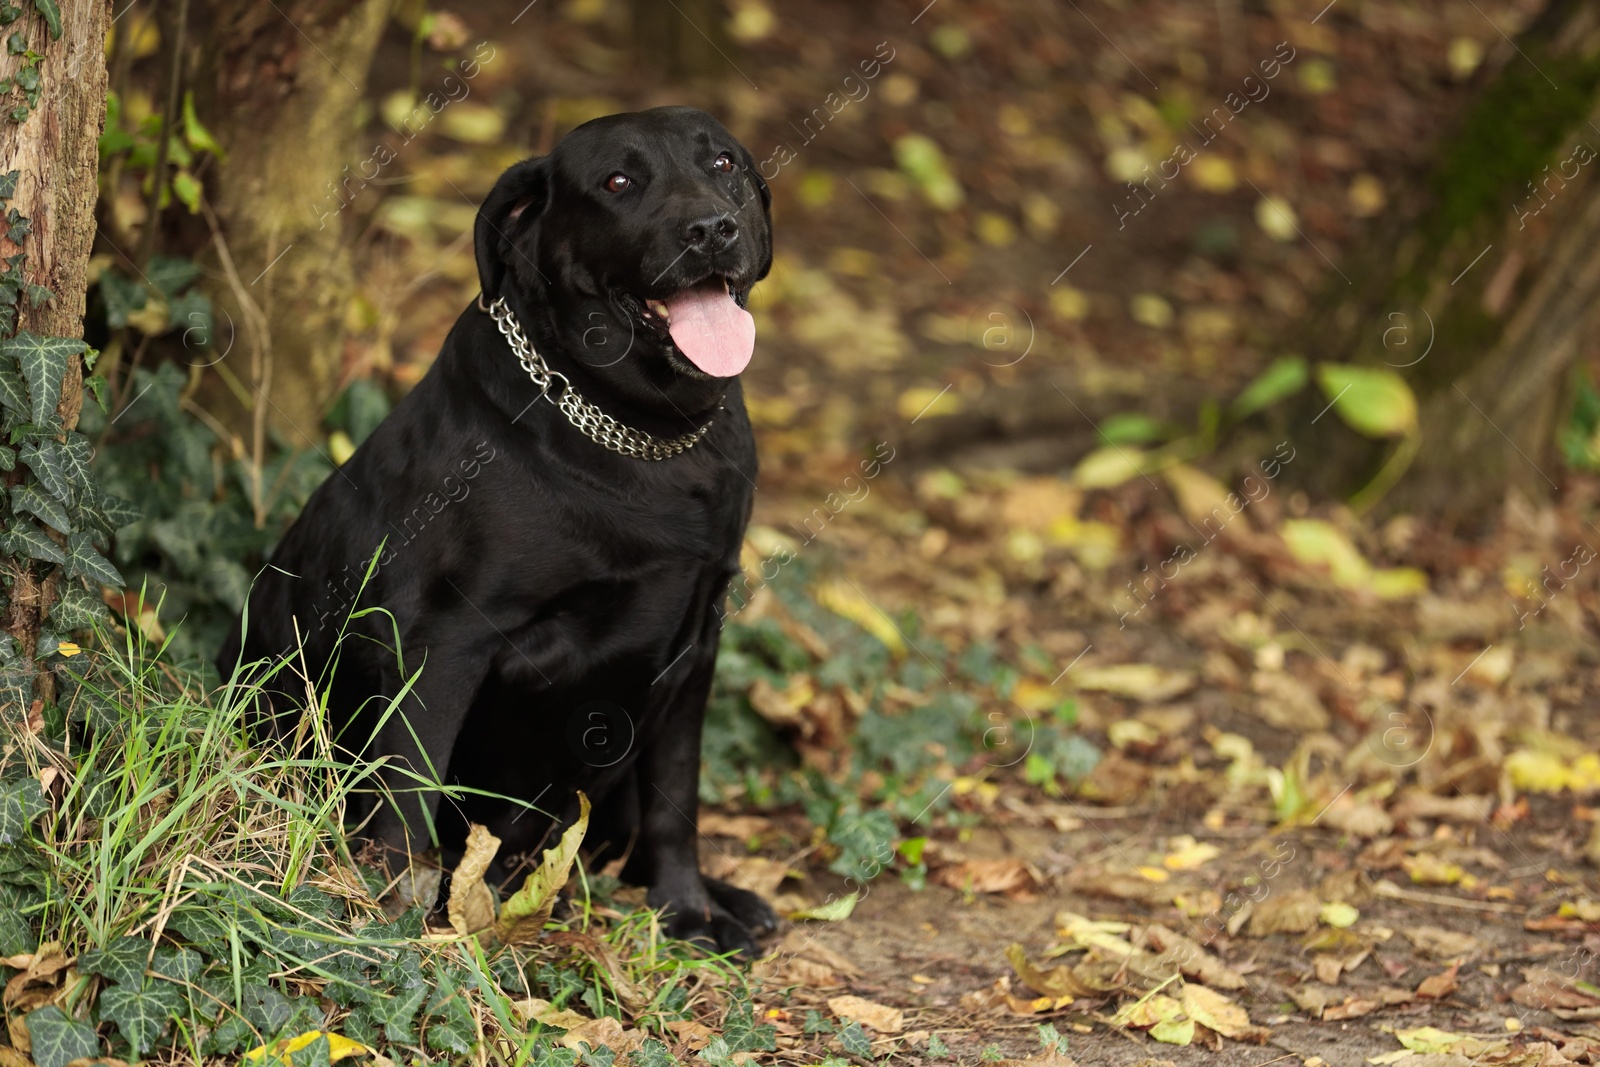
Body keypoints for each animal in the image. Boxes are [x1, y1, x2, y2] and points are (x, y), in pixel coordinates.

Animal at [222, 106, 777, 959]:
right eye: (619, 181)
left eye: (723, 163)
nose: (712, 228)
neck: (642, 437)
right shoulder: (445, 639)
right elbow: (409, 788)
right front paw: (392, 920)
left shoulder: (699, 641)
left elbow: (675, 797)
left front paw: (686, 912)